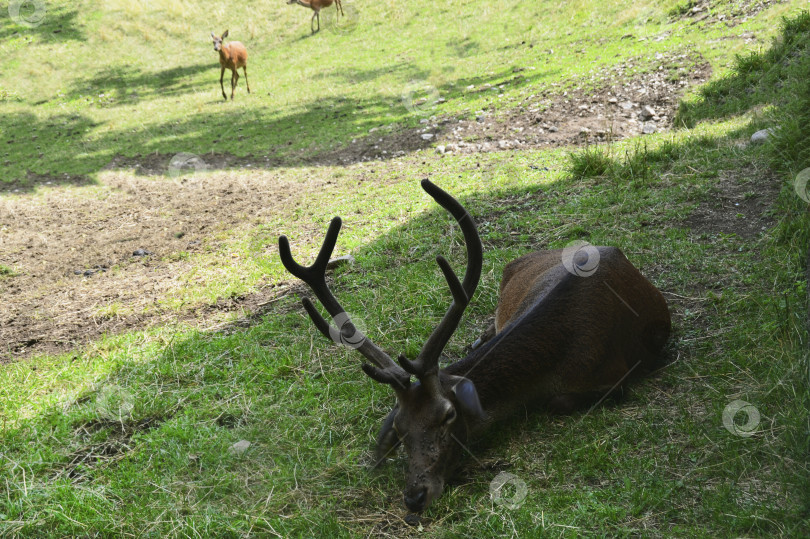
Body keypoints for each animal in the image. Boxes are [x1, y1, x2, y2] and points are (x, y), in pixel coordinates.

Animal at [278, 180, 668, 516]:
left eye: (448, 415)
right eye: (400, 428)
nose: (414, 496)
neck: (554, 362)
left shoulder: (615, 376)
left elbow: (561, 401)